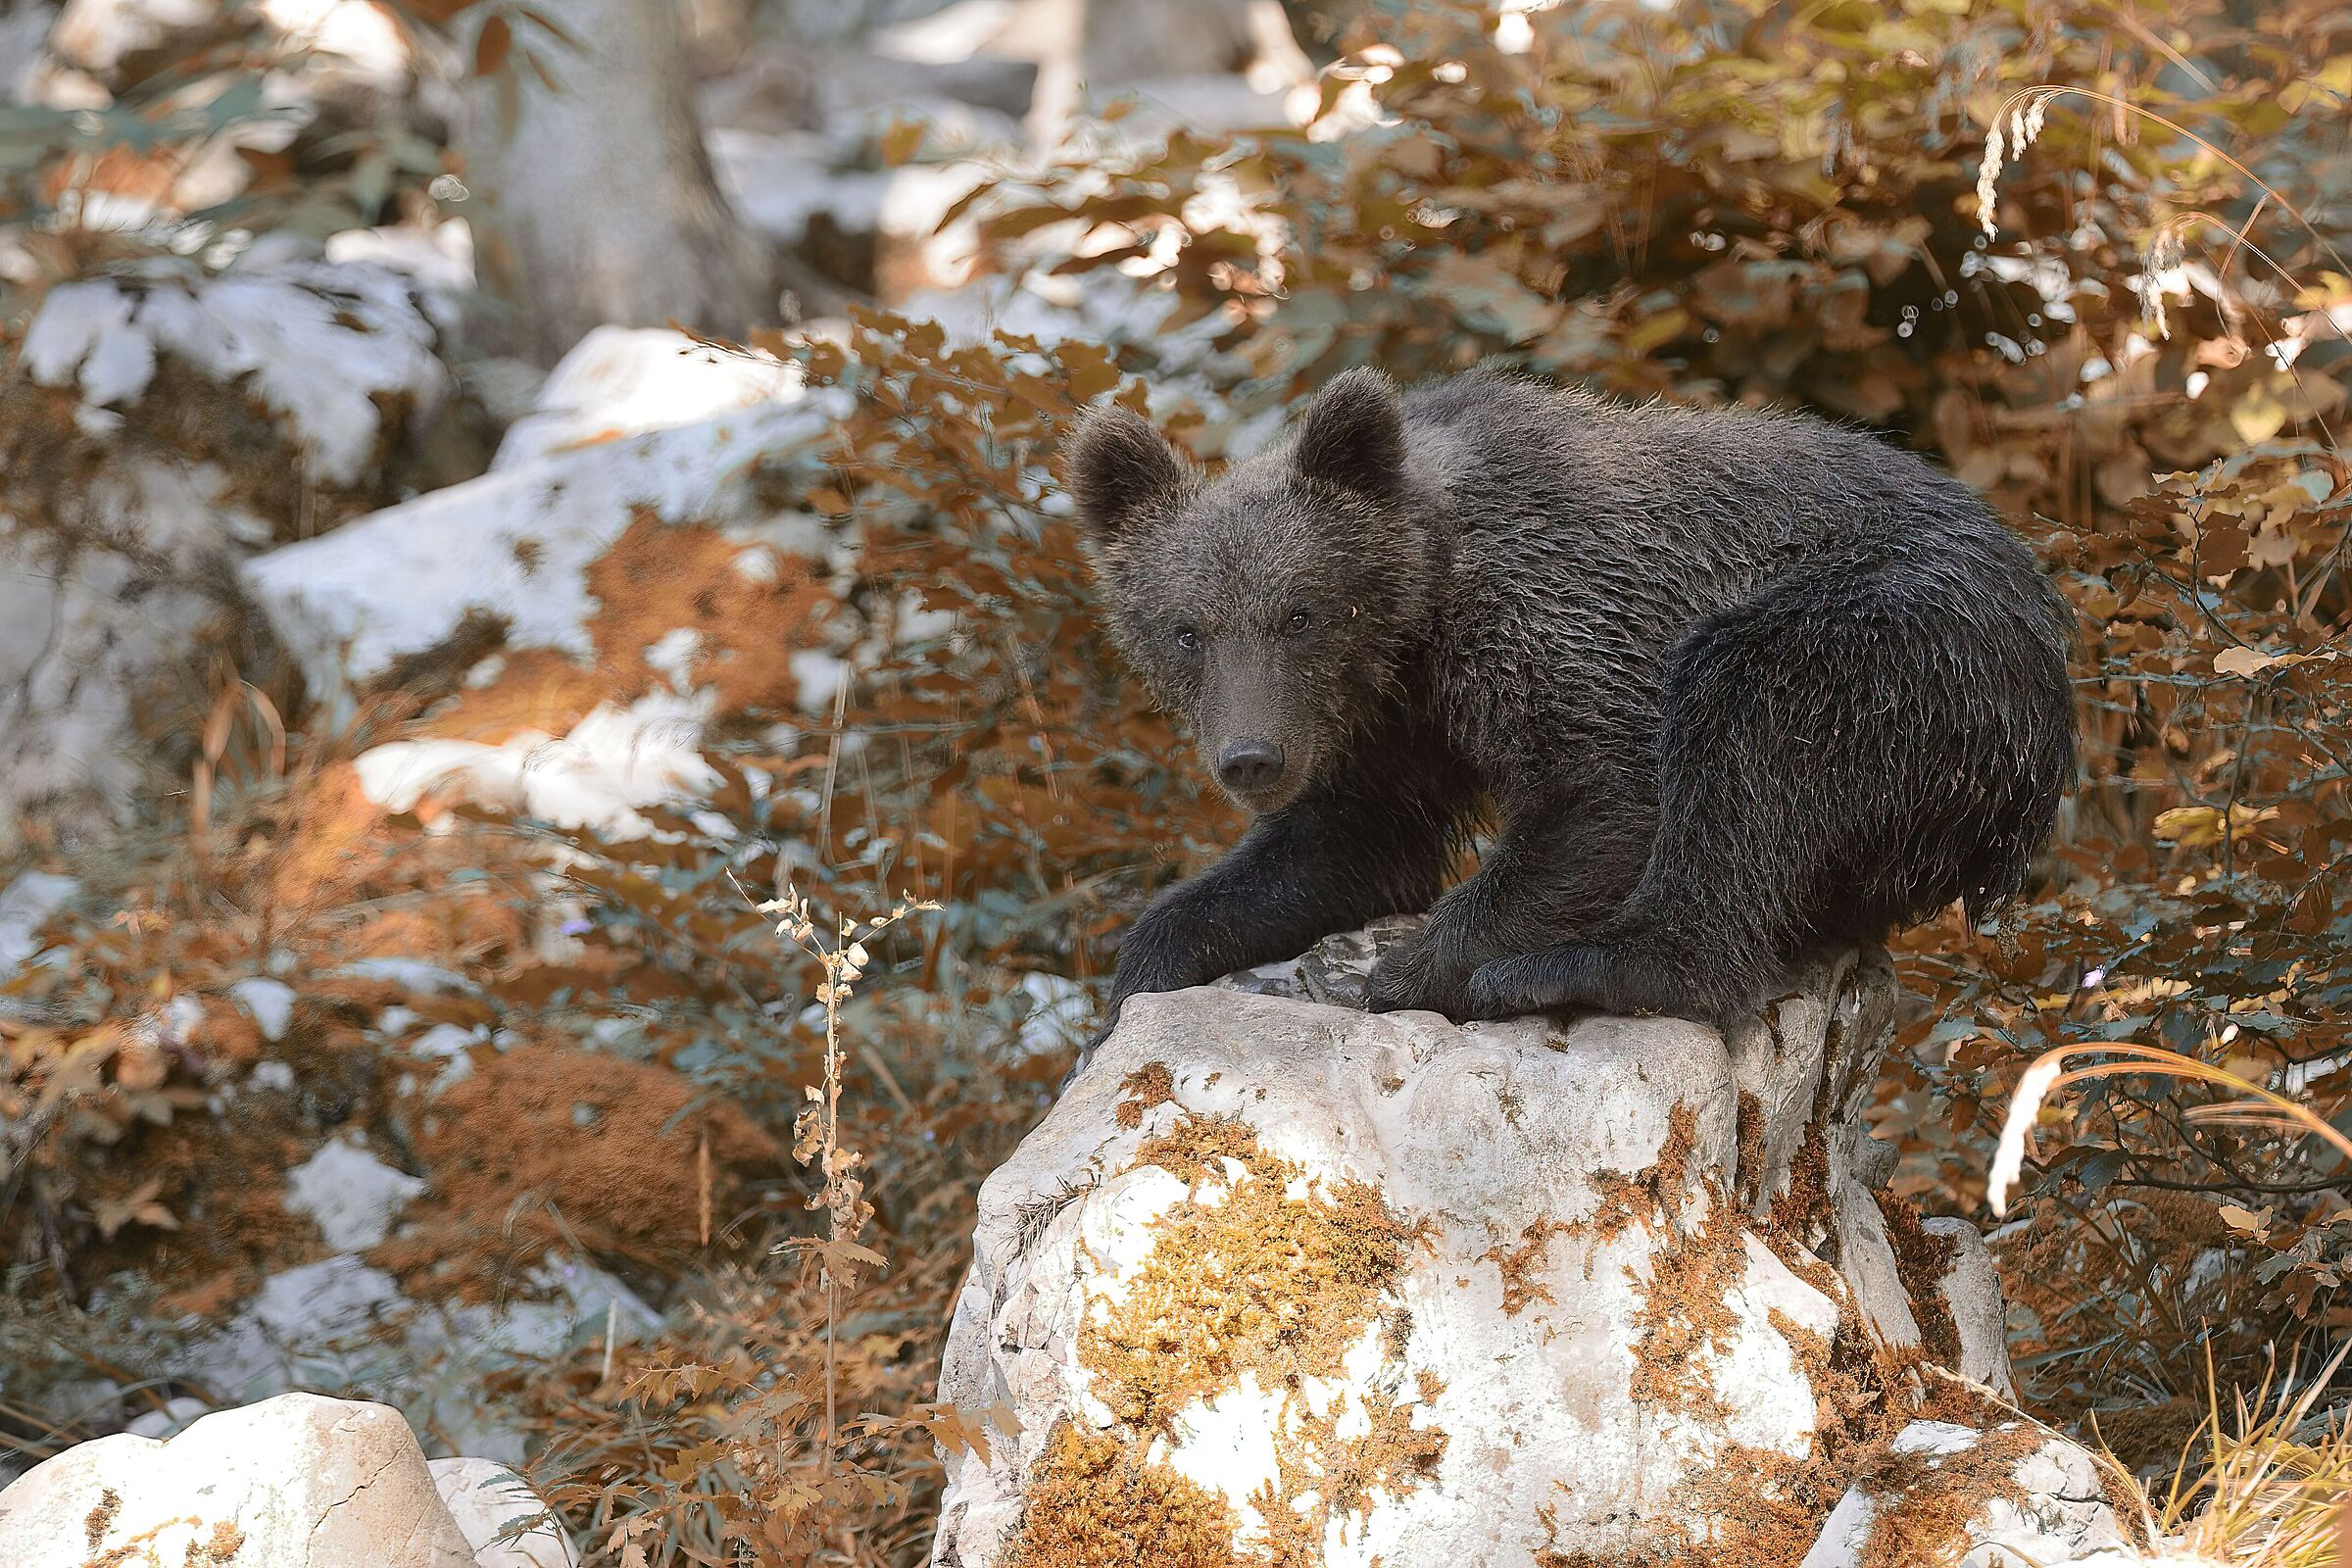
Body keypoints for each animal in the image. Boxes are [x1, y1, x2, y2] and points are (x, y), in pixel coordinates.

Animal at [1065, 365, 2076, 1043]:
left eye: (1300, 613)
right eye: (1187, 629)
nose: (1251, 758)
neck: (1424, 609)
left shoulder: (1557, 607)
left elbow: (1604, 788)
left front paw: (1412, 971)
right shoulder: (1390, 725)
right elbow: (1347, 847)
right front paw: (1142, 972)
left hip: (1896, 645)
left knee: (1748, 731)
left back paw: (1575, 969)